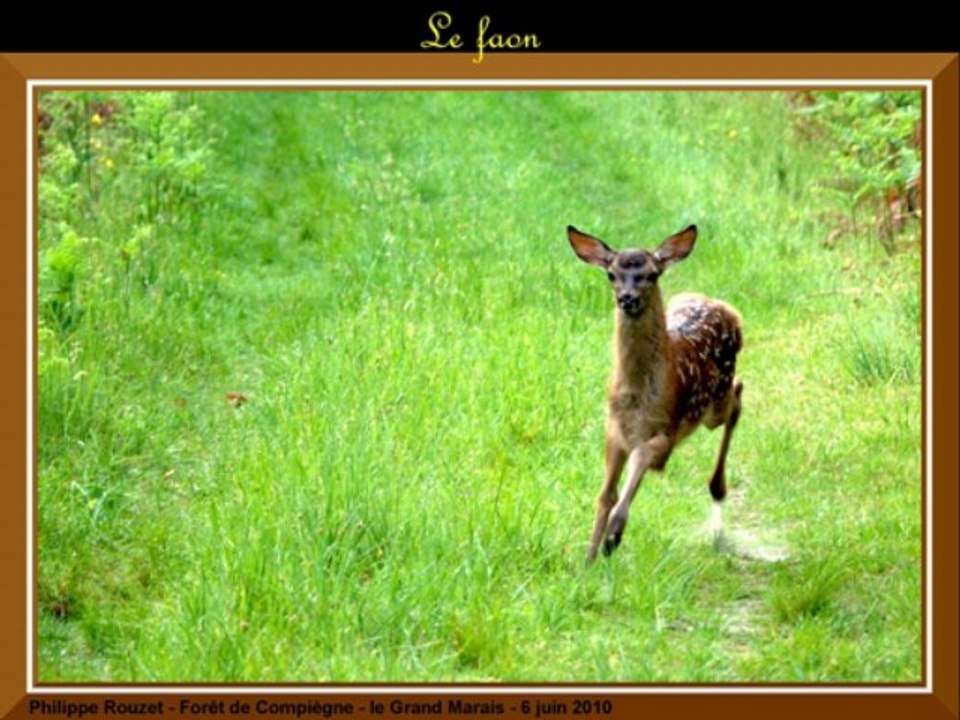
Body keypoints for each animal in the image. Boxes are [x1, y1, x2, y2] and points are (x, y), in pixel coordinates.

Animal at [568, 224, 744, 565]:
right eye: (611, 273)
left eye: (651, 274)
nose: (627, 298)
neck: (636, 398)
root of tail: (726, 309)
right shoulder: (613, 432)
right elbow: (604, 495)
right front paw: (588, 560)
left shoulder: (666, 434)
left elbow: (641, 459)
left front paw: (614, 535)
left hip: (713, 404)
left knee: (737, 399)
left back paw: (717, 491)